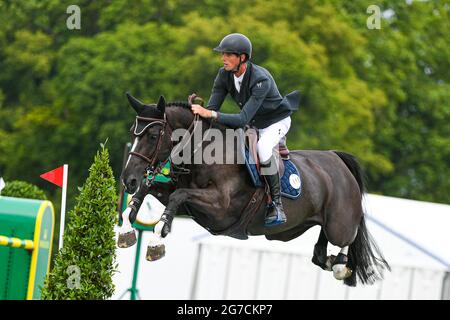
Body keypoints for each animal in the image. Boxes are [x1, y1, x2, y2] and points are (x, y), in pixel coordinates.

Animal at [120, 94, 390, 286]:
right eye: (133, 133)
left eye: (153, 135)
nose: (127, 179)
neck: (203, 154)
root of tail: (337, 159)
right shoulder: (192, 205)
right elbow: (149, 190)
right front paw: (126, 228)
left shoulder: (220, 209)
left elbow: (177, 196)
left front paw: (156, 240)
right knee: (320, 254)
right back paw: (332, 260)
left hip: (338, 224)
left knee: (345, 239)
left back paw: (341, 265)